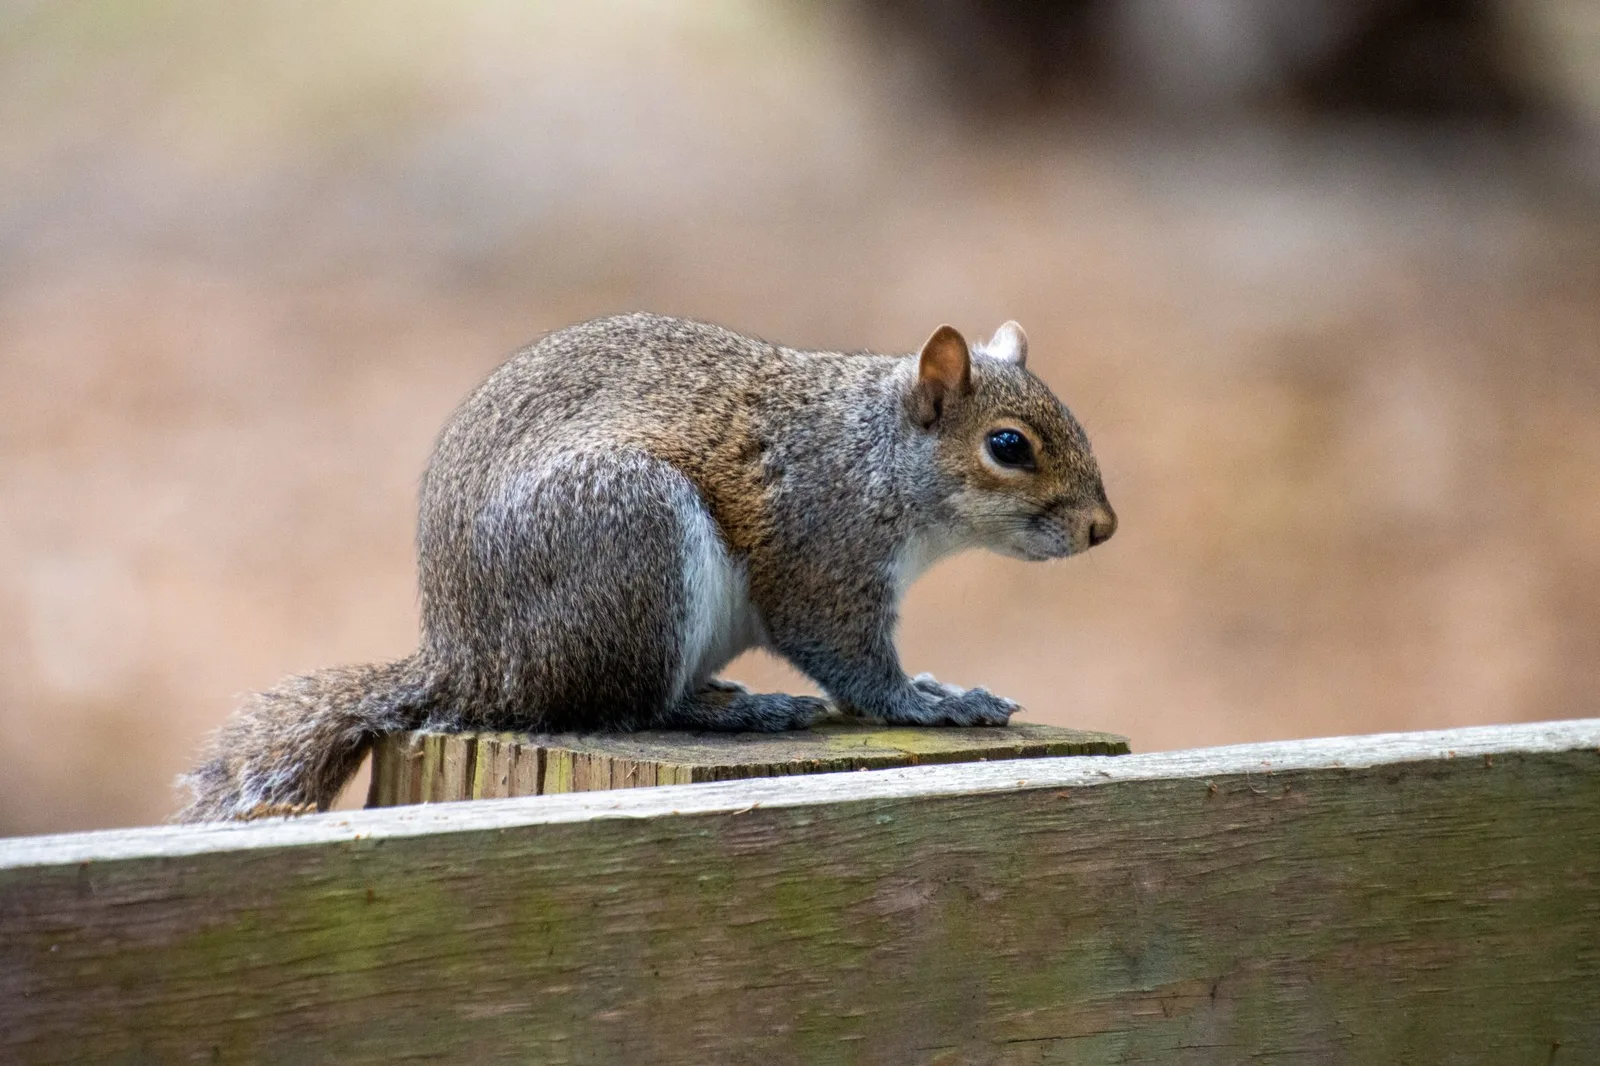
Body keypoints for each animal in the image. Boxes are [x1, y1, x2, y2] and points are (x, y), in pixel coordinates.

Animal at [177, 313, 1115, 821]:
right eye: (1008, 447)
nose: (1103, 528)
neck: (875, 453)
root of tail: (471, 665)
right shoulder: (824, 553)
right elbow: (851, 663)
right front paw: (933, 705)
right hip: (635, 545)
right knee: (627, 707)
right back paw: (744, 711)